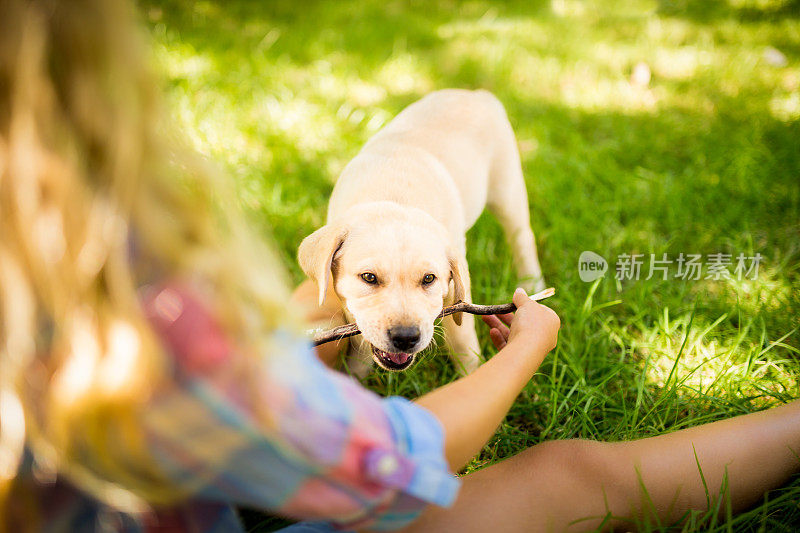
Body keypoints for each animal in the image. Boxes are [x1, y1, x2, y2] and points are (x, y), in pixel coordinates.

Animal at [298, 89, 544, 374]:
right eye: (369, 278)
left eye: (429, 279)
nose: (405, 338)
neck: (394, 198)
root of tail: (475, 93)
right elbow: (359, 337)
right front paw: (355, 373)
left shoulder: (455, 290)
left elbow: (461, 336)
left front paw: (472, 372)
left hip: (507, 187)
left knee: (522, 236)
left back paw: (533, 282)